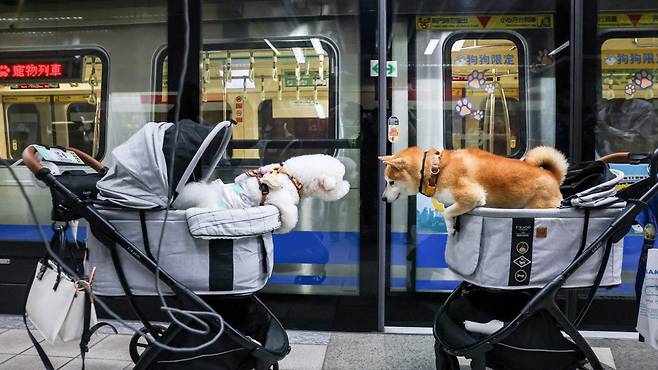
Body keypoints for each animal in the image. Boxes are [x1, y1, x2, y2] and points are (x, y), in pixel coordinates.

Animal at [172, 155, 352, 233]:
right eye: (340, 181)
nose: (349, 187)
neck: (293, 177)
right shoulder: (281, 201)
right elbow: (290, 217)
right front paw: (282, 229)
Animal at [382, 145, 568, 234]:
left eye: (391, 182)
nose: (383, 199)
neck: (437, 170)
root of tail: (553, 176)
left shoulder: (472, 197)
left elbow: (447, 212)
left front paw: (450, 228)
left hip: (538, 207)